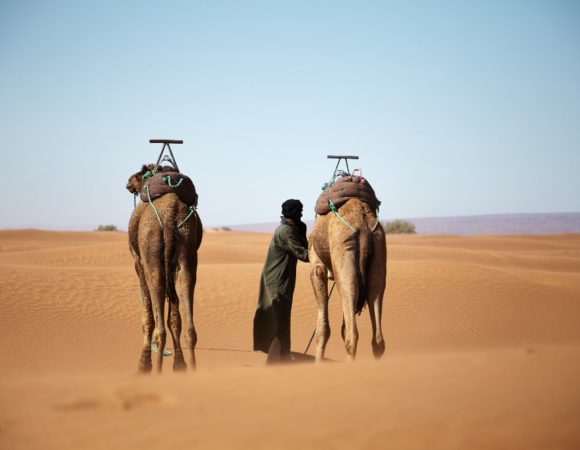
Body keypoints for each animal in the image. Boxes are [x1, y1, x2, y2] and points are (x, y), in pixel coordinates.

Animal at [126, 165, 202, 372]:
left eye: (138, 174)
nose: (128, 183)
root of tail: (170, 217)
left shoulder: (138, 262)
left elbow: (148, 315)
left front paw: (143, 364)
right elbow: (175, 318)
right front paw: (179, 365)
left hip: (151, 252)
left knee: (159, 323)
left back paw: (155, 369)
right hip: (187, 251)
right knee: (189, 321)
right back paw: (192, 368)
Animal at [308, 197, 386, 362]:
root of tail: (362, 222)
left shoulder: (317, 267)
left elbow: (322, 330)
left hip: (344, 250)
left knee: (352, 336)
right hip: (378, 250)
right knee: (377, 339)